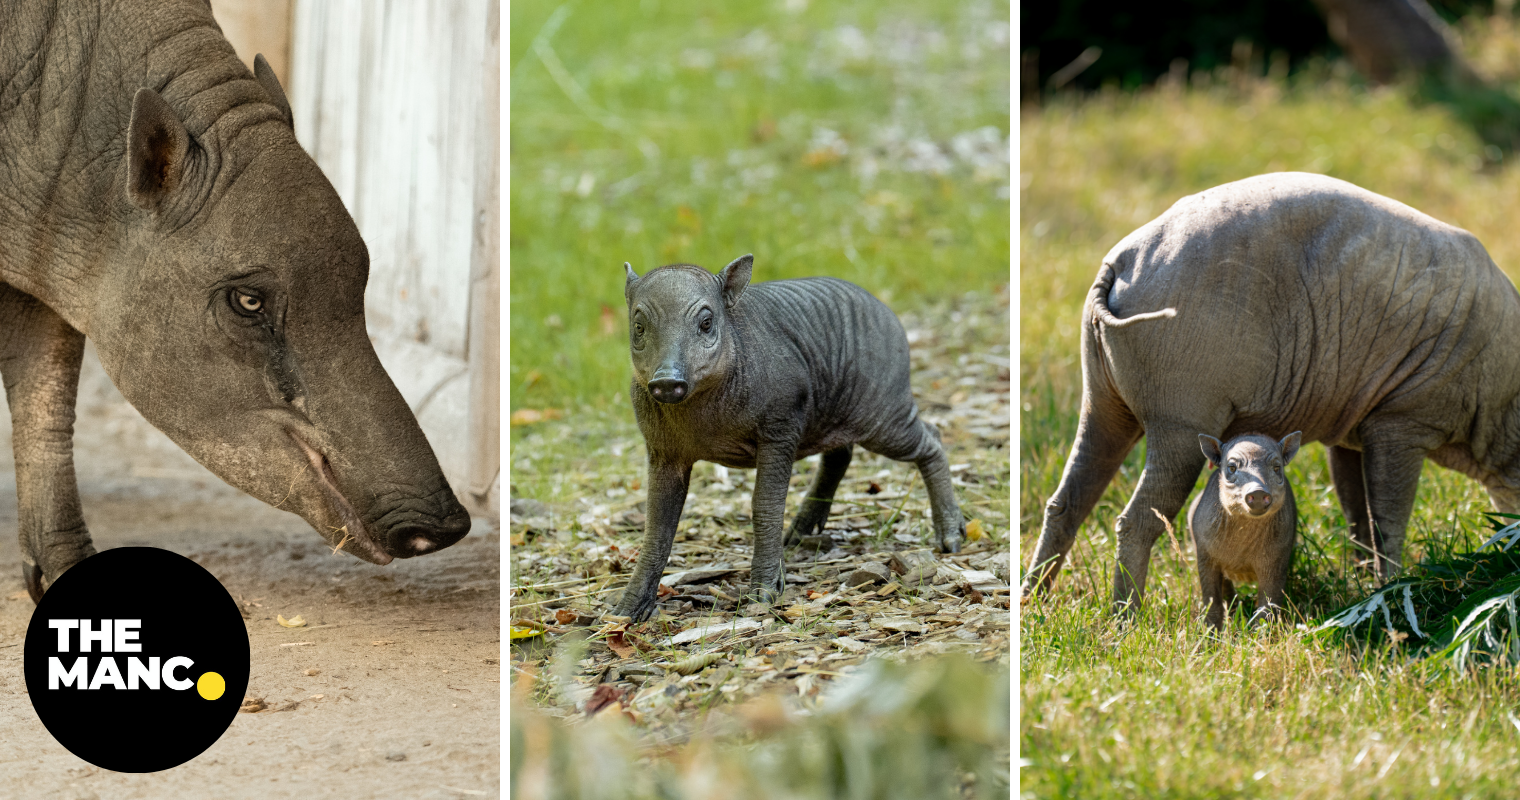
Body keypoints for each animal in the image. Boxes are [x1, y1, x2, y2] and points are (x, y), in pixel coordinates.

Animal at [613, 255, 965, 622]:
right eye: (639, 326)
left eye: (706, 323)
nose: (667, 382)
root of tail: (887, 312)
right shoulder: (663, 451)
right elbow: (656, 524)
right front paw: (625, 611)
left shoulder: (780, 431)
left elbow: (764, 505)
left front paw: (763, 593)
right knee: (840, 455)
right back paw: (799, 532)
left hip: (884, 416)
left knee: (932, 439)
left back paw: (951, 536)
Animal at [1189, 432, 1301, 629]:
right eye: (1232, 467)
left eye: (1277, 467)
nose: (1258, 493)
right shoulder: (1204, 557)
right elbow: (1211, 599)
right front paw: (1210, 634)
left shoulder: (1276, 561)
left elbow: (1268, 605)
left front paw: (1261, 634)